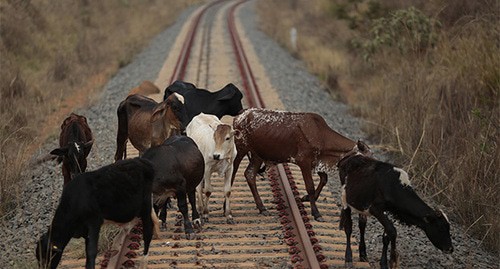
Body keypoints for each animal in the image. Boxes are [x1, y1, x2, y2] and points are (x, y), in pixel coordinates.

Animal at [230, 108, 372, 221]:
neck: (321, 135)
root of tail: (242, 114)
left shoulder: (316, 162)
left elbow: (324, 179)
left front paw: (306, 198)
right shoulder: (304, 162)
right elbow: (310, 187)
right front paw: (316, 213)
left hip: (257, 155)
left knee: (250, 175)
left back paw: (262, 208)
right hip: (240, 149)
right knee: (232, 173)